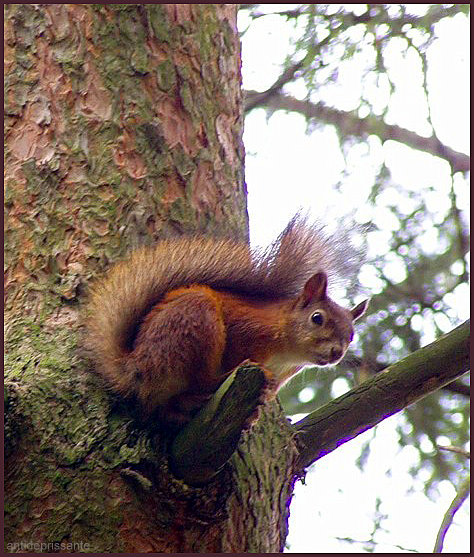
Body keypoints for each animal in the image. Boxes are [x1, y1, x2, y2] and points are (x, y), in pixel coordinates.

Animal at [84, 215, 366, 424]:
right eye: (317, 318)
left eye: (351, 336)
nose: (336, 352)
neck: (285, 351)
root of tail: (135, 368)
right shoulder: (245, 331)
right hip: (195, 324)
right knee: (200, 381)